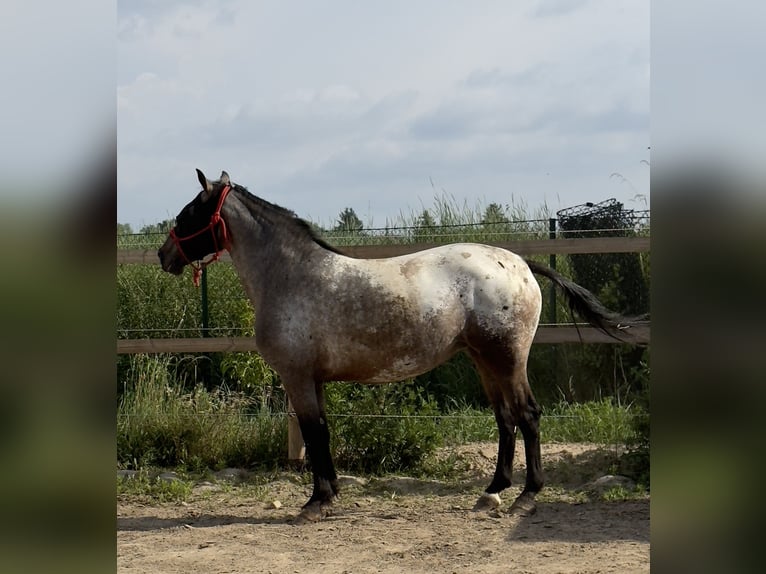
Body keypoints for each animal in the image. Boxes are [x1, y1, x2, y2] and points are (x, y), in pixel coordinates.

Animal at [159, 169, 644, 524]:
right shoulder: (313, 380)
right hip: (483, 361)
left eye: (187, 214)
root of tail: (520, 263)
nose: (165, 255)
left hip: (506, 359)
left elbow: (314, 433)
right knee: (505, 419)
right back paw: (491, 492)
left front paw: (316, 503)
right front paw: (329, 495)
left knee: (527, 415)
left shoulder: (297, 378)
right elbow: (323, 433)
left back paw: (526, 496)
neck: (290, 276)